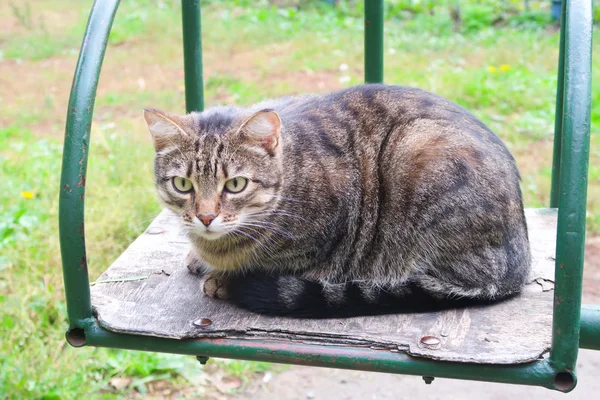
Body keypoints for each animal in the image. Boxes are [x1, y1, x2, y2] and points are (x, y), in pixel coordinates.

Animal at [144, 84, 528, 318]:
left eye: (235, 184)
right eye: (183, 184)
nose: (206, 217)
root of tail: (519, 265)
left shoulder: (330, 231)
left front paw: (224, 278)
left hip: (418, 152)